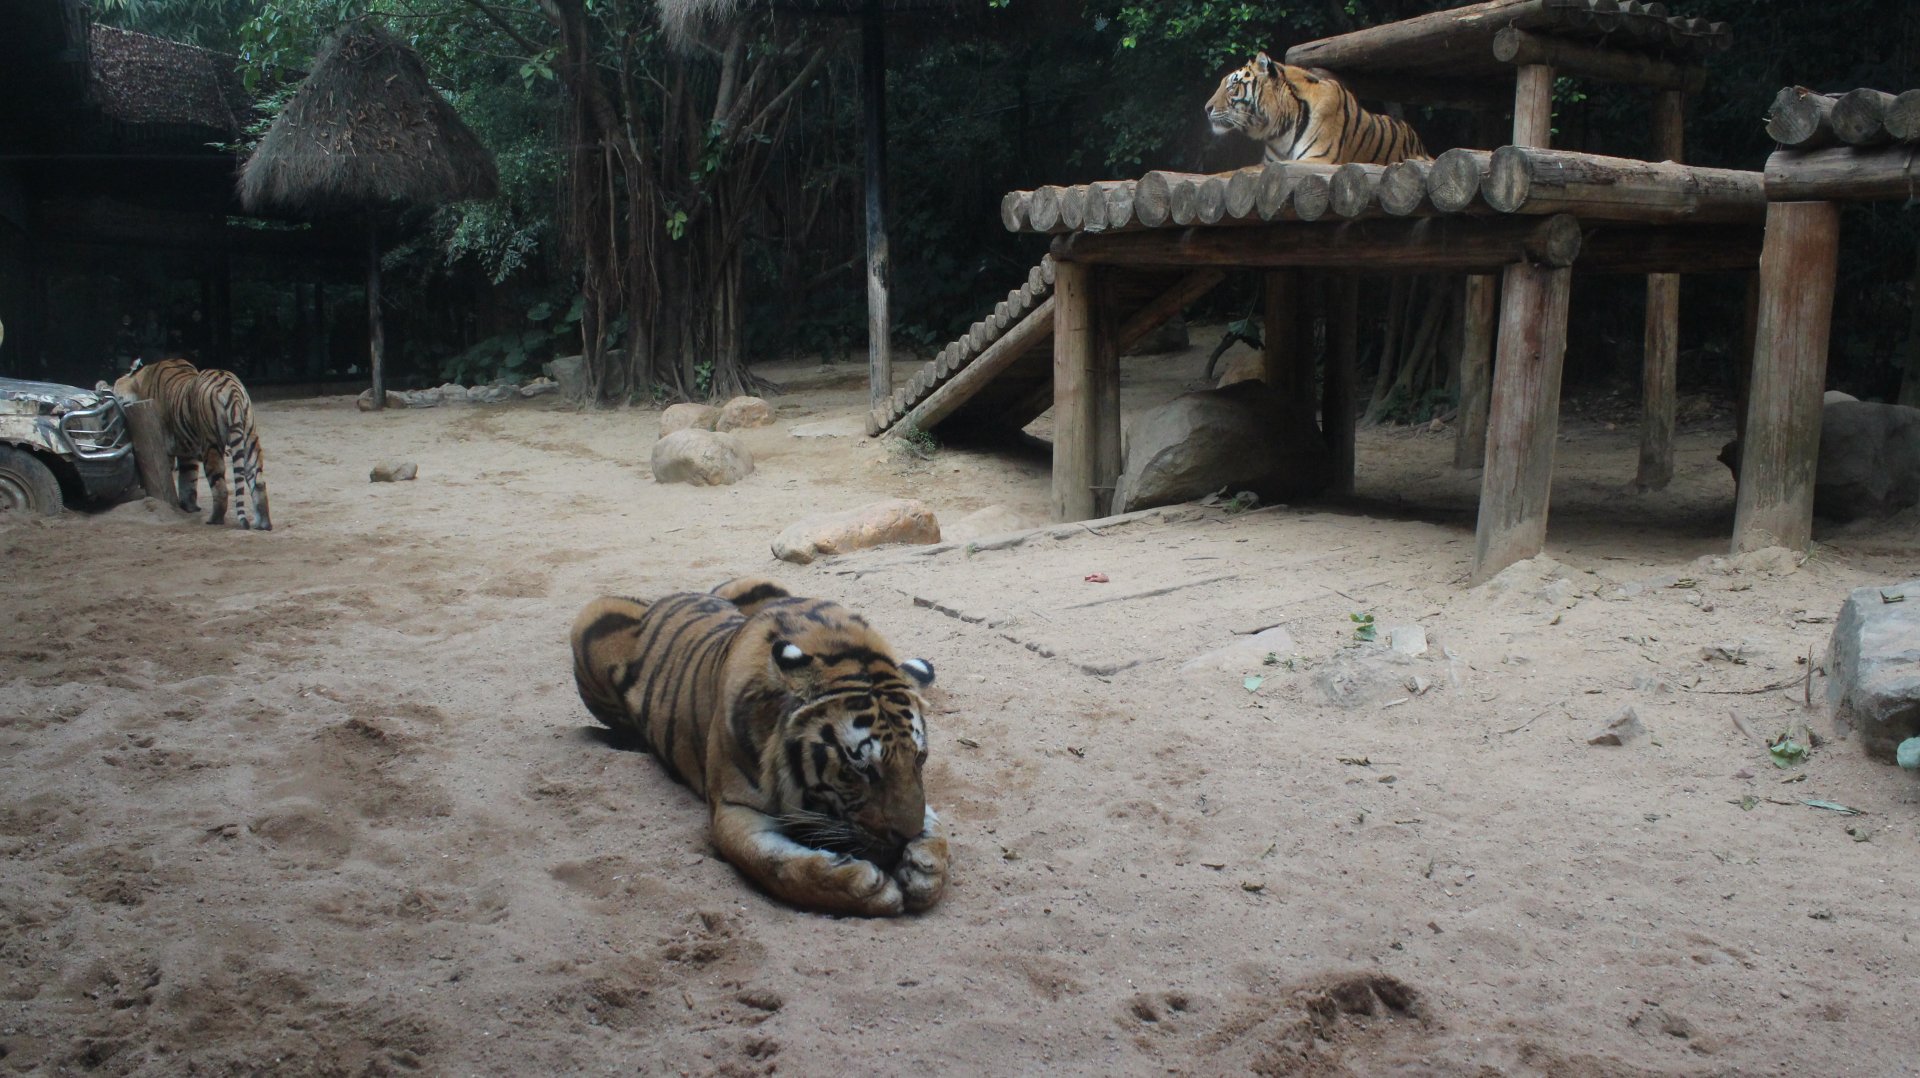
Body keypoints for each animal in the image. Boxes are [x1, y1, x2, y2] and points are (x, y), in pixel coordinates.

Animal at [112, 357, 272, 531]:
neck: (138, 382)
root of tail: (232, 388)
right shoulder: (186, 450)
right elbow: (188, 479)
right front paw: (189, 507)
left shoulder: (166, 448)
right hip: (250, 437)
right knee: (258, 482)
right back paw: (263, 524)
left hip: (211, 443)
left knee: (220, 487)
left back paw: (214, 520)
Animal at [569, 578, 947, 917]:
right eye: (861, 769)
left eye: (920, 758)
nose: (905, 839)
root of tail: (669, 596)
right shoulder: (733, 808)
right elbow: (777, 865)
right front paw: (867, 888)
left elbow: (936, 827)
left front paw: (926, 869)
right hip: (589, 617)